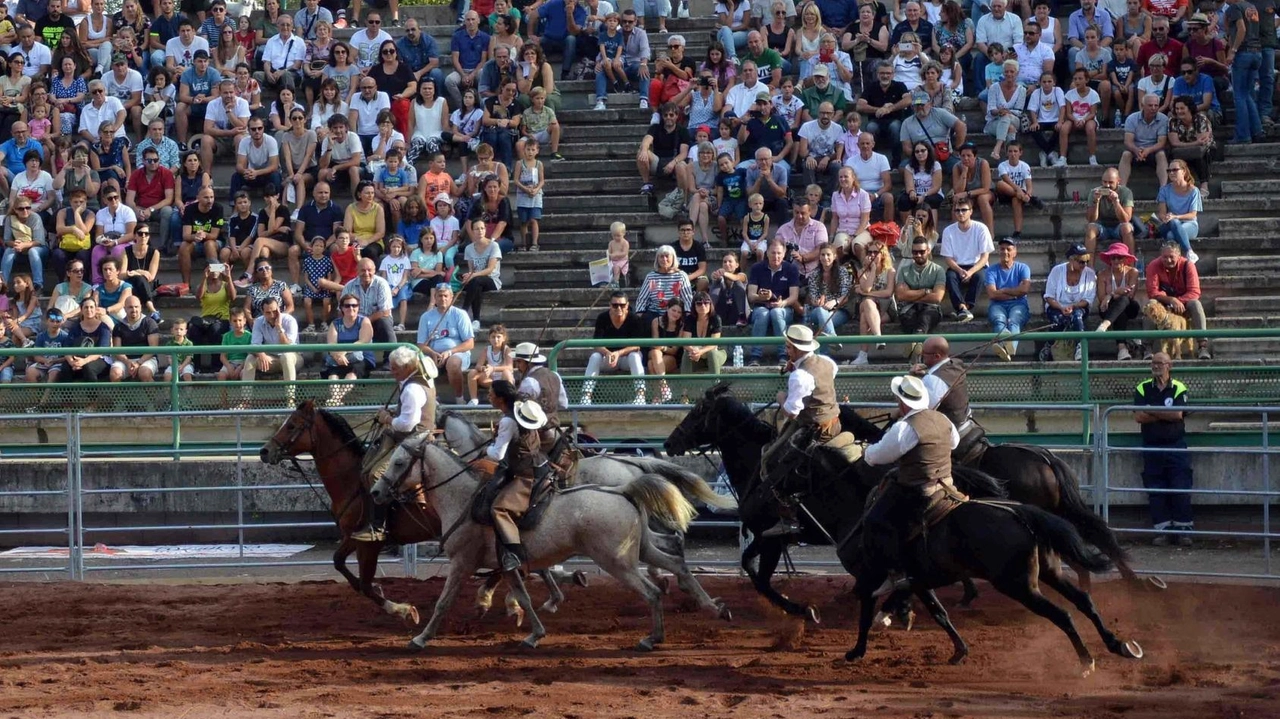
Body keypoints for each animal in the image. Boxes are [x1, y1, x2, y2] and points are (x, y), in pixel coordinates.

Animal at [371, 437, 732, 649]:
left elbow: (443, 602)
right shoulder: (509, 564)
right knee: (676, 563)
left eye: (400, 463)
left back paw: (653, 637)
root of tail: (624, 490)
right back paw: (714, 607)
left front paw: (420, 638)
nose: (376, 491)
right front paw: (534, 633)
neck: (464, 499)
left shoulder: (462, 562)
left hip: (616, 561)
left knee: (653, 590)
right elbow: (524, 596)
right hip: (640, 549)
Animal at [665, 381, 1003, 621]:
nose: (669, 442)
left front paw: (802, 610)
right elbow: (754, 571)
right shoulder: (775, 539)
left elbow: (757, 575)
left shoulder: (770, 537)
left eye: (697, 412)